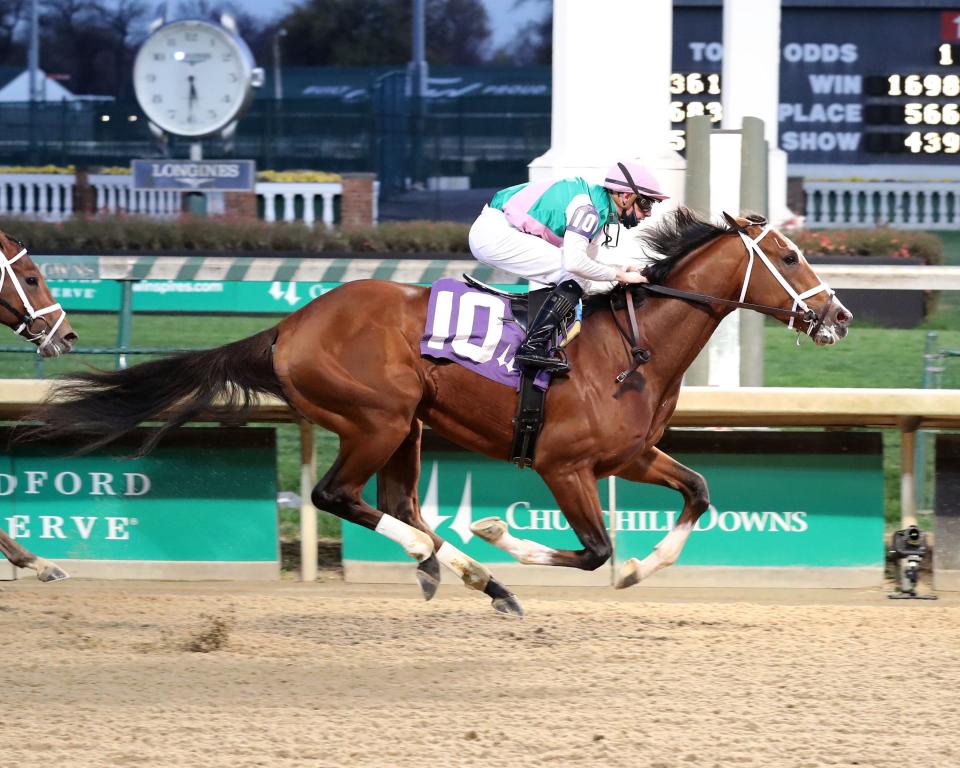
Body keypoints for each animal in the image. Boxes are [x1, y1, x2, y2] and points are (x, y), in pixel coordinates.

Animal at [26, 208, 848, 612]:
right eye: (792, 258)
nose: (838, 316)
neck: (628, 348)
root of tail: (289, 325)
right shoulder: (563, 465)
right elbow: (593, 549)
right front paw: (496, 530)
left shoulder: (630, 455)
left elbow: (697, 493)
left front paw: (643, 571)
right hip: (378, 418)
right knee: (336, 495)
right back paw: (470, 566)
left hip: (407, 426)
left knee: (396, 503)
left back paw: (462, 573)